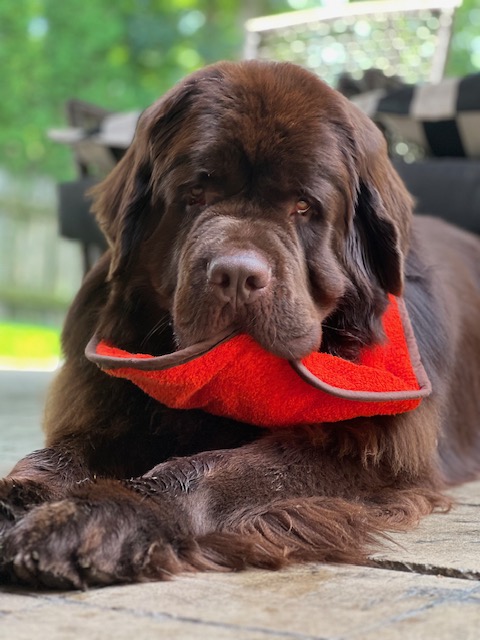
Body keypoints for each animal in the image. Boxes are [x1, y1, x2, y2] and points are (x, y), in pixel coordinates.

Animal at [0, 61, 480, 592]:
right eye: (195, 194)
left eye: (303, 206)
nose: (236, 273)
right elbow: (63, 452)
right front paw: (21, 497)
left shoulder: (369, 454)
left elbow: (215, 471)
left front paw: (99, 513)